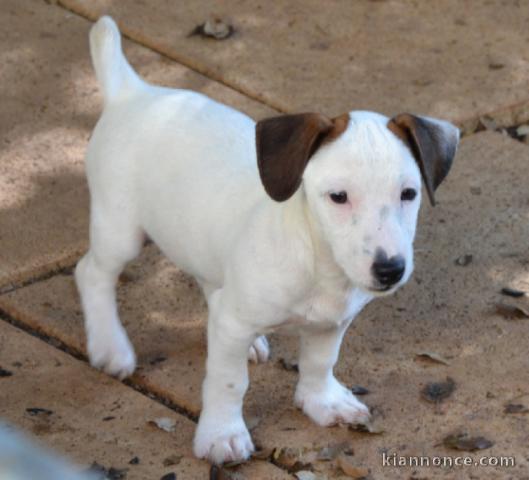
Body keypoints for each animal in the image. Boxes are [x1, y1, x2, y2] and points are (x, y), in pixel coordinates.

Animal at [75, 15, 458, 464]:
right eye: (338, 196)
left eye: (409, 194)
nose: (390, 270)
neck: (319, 264)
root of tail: (133, 92)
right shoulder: (233, 325)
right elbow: (228, 381)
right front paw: (222, 435)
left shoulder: (332, 322)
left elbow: (320, 362)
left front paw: (322, 401)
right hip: (119, 228)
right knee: (92, 273)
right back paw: (110, 345)